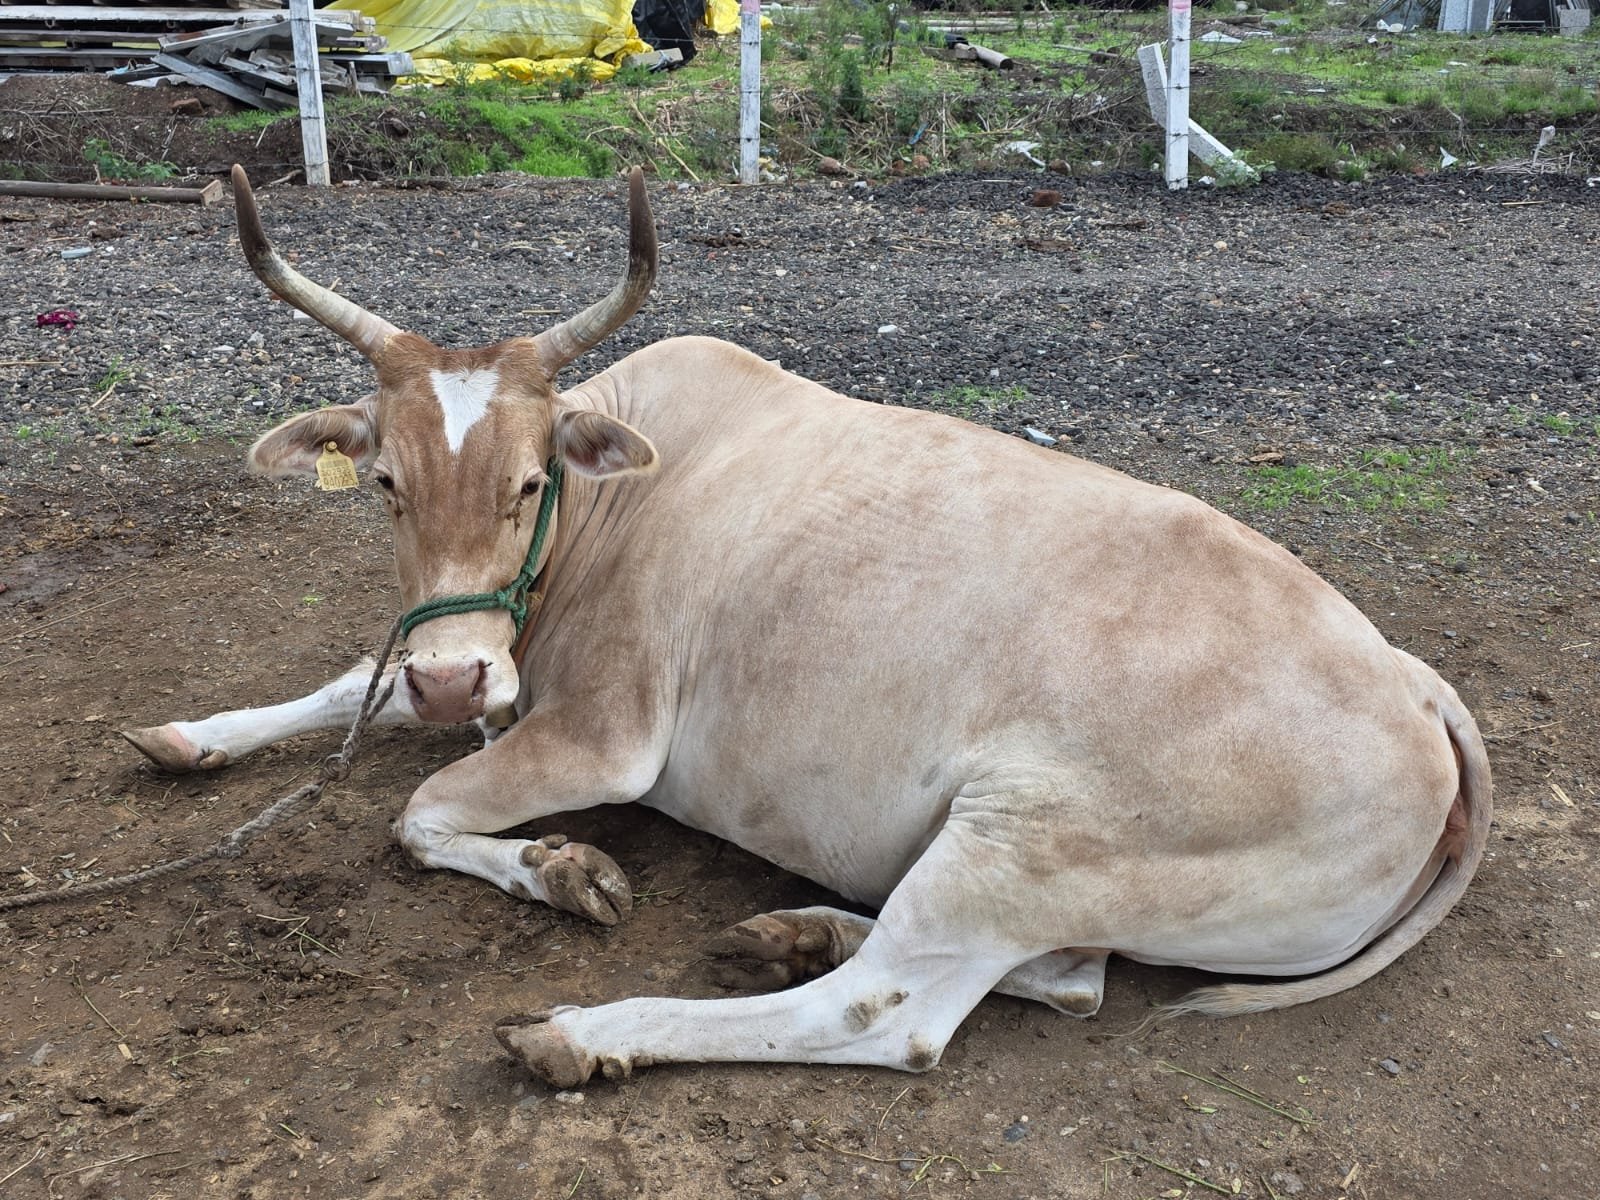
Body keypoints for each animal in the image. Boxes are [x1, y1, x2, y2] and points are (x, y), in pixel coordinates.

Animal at [124, 165, 1491, 1089]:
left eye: (526, 481)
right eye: (387, 485)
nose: (460, 681)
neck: (619, 496)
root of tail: (1416, 689)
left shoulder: (601, 733)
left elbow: (418, 815)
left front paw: (559, 868)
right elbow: (363, 676)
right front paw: (193, 736)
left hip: (1026, 838)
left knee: (892, 1013)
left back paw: (591, 1030)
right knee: (1061, 978)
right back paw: (793, 929)